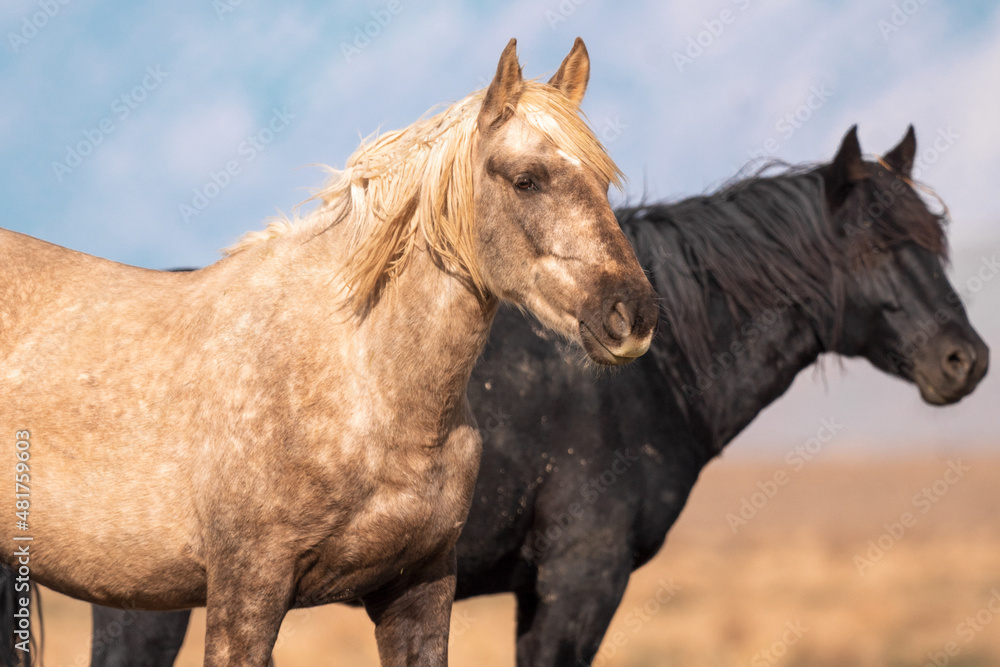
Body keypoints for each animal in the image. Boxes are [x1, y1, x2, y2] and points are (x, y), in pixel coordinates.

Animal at [0, 37, 658, 667]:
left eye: (602, 183)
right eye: (527, 180)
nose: (633, 314)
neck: (362, 382)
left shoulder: (418, 590)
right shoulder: (247, 591)